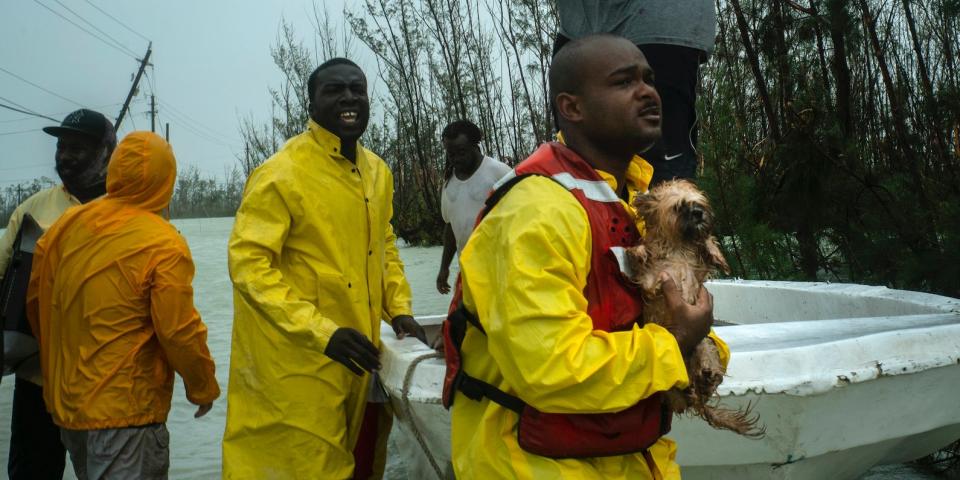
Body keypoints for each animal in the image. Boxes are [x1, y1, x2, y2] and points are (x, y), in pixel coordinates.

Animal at [628, 178, 760, 436]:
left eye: (699, 203)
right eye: (678, 207)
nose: (699, 213)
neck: (678, 246)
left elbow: (708, 242)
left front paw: (719, 257)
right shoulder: (652, 277)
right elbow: (646, 265)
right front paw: (636, 251)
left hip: (704, 344)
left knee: (706, 377)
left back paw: (706, 376)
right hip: (670, 387)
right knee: (681, 399)